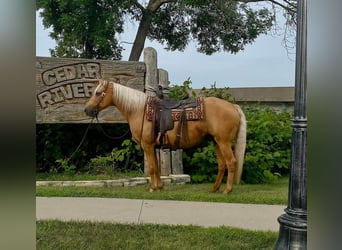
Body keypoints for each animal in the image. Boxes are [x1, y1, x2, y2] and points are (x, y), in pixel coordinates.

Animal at [85, 80, 246, 193]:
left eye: (98, 93)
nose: (87, 110)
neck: (139, 110)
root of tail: (233, 106)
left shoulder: (147, 145)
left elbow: (151, 168)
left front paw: (153, 188)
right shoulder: (153, 146)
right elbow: (156, 167)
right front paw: (160, 187)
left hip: (224, 142)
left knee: (231, 162)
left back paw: (227, 190)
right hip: (216, 142)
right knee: (222, 164)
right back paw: (214, 189)